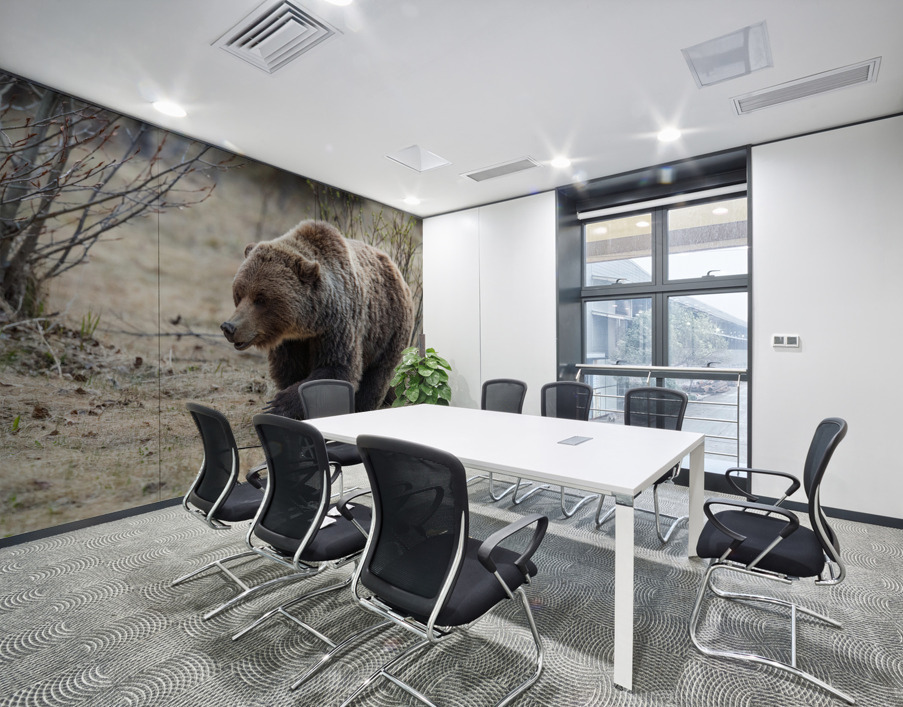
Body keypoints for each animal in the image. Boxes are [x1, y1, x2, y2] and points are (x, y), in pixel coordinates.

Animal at [220, 220, 414, 419]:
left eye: (260, 299)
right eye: (239, 293)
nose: (229, 327)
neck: (307, 324)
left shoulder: (338, 325)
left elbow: (336, 368)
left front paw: (279, 404)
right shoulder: (290, 343)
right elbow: (289, 370)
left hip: (388, 329)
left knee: (377, 375)